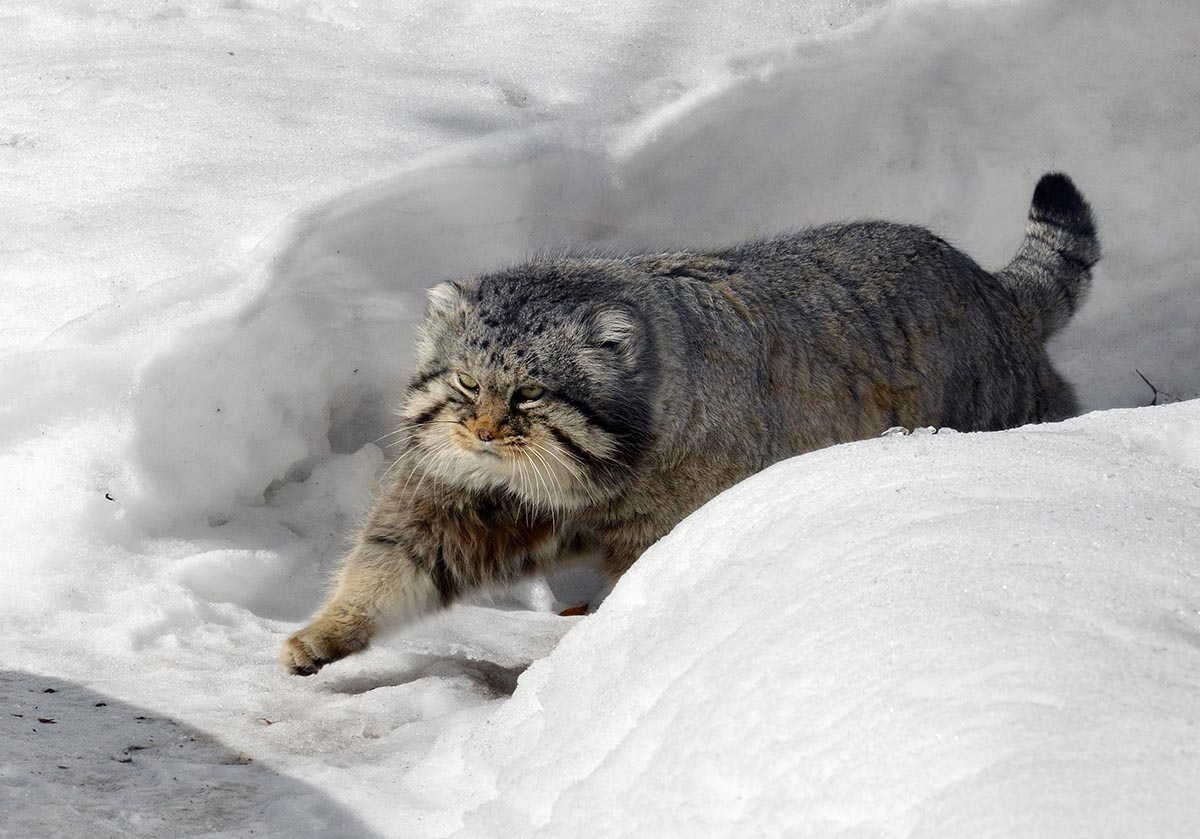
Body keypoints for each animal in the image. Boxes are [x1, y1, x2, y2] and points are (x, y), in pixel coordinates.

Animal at [280, 170, 1099, 676]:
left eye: (531, 395)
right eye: (468, 382)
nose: (481, 434)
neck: (589, 479)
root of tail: (993, 287)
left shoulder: (661, 527)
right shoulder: (462, 497)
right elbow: (392, 559)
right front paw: (328, 630)